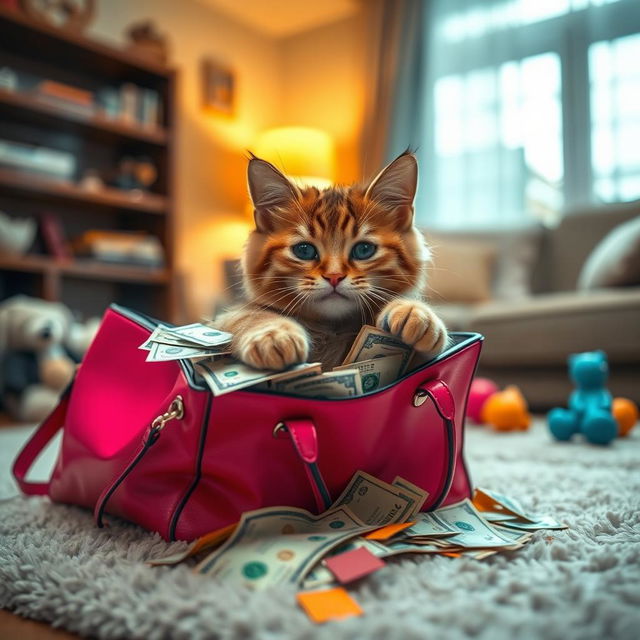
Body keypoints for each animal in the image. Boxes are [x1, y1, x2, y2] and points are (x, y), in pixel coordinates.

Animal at [215, 152, 444, 370]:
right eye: (304, 251)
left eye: (364, 250)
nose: (334, 276)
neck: (332, 330)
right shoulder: (223, 320)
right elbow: (246, 315)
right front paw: (273, 335)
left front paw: (414, 312)